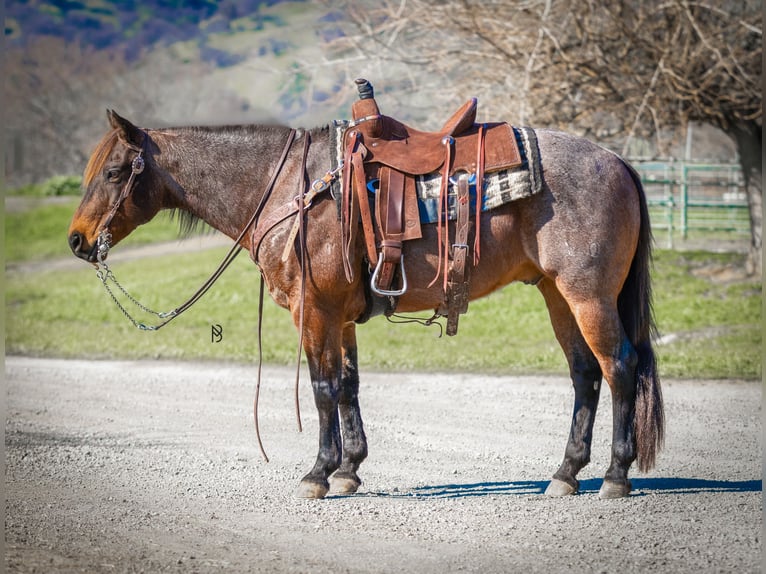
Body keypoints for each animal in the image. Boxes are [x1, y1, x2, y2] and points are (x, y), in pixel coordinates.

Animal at [68, 108, 664, 499]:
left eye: (115, 172)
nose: (77, 240)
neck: (288, 189)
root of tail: (618, 162)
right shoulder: (340, 316)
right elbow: (349, 385)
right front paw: (350, 470)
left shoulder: (314, 311)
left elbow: (322, 388)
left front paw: (318, 473)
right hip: (557, 295)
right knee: (586, 374)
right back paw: (565, 474)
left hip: (588, 297)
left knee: (620, 368)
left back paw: (615, 476)